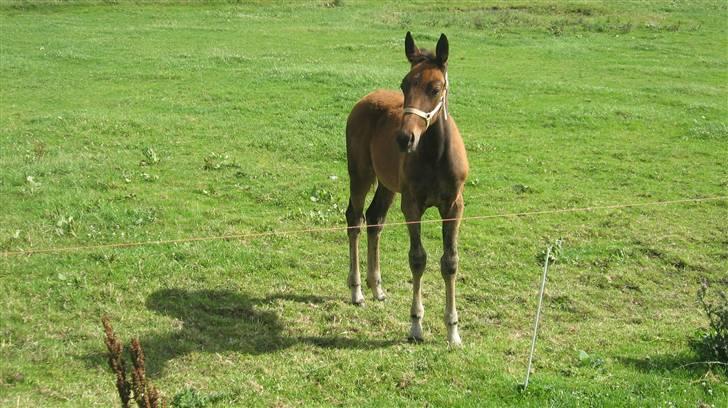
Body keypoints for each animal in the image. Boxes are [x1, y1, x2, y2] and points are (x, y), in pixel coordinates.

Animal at [346, 31, 470, 346]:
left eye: (435, 88)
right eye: (404, 84)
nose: (404, 139)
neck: (435, 155)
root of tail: (365, 99)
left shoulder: (454, 205)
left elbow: (450, 261)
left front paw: (453, 330)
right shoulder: (412, 205)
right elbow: (418, 259)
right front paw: (415, 324)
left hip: (388, 184)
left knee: (374, 219)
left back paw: (377, 288)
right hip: (361, 174)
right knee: (355, 219)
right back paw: (357, 291)